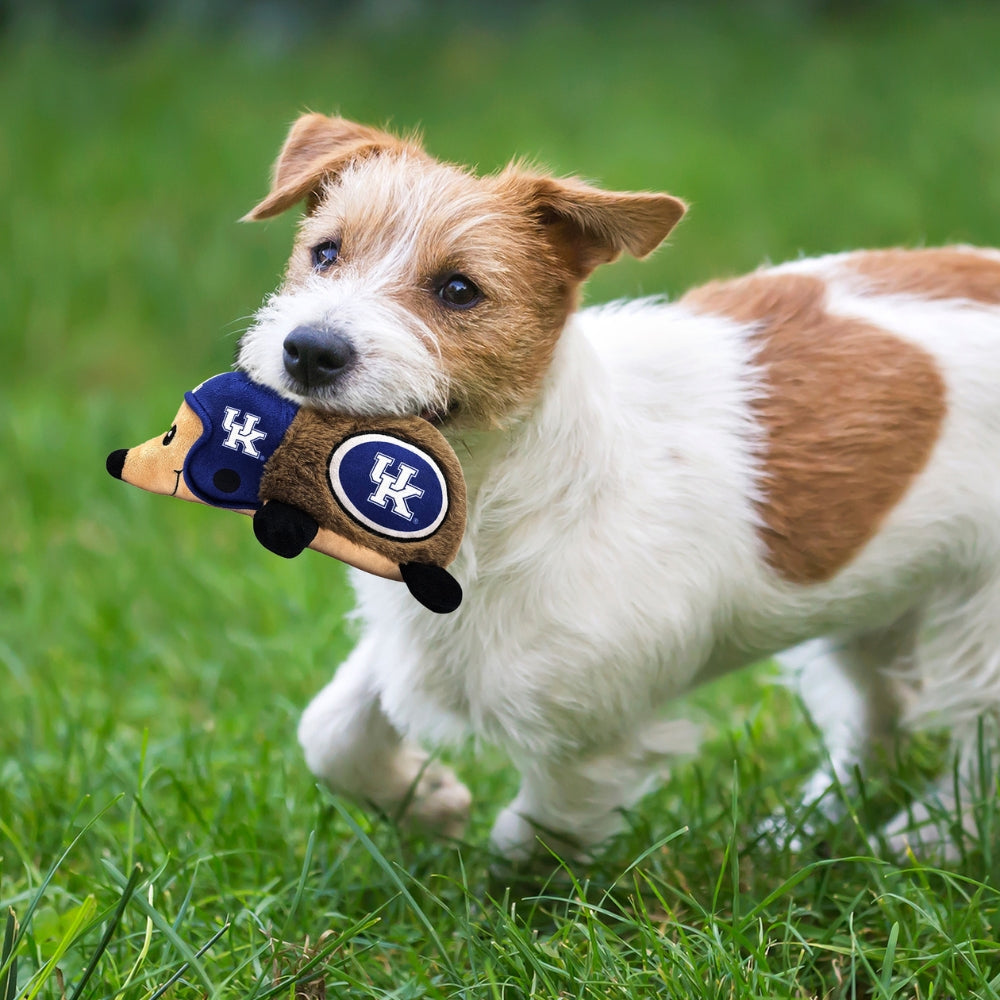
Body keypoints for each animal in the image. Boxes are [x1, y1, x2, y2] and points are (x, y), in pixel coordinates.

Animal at [236, 111, 1000, 860]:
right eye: (325, 253)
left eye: (459, 289)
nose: (309, 350)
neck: (490, 493)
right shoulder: (415, 641)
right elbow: (331, 731)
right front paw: (426, 801)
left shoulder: (591, 734)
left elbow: (534, 836)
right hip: (873, 602)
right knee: (881, 716)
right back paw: (803, 831)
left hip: (977, 621)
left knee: (976, 744)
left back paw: (931, 838)